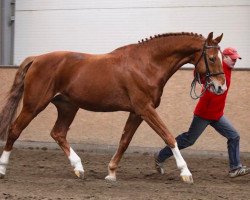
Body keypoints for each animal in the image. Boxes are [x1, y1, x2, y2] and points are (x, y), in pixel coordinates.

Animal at [0, 31, 225, 183]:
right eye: (212, 58)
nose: (220, 87)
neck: (147, 64)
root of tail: (36, 58)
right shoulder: (145, 109)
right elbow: (168, 136)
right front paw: (186, 172)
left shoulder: (136, 112)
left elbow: (124, 141)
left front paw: (111, 172)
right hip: (34, 105)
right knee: (15, 130)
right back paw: (2, 168)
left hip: (68, 107)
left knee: (58, 133)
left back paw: (79, 168)